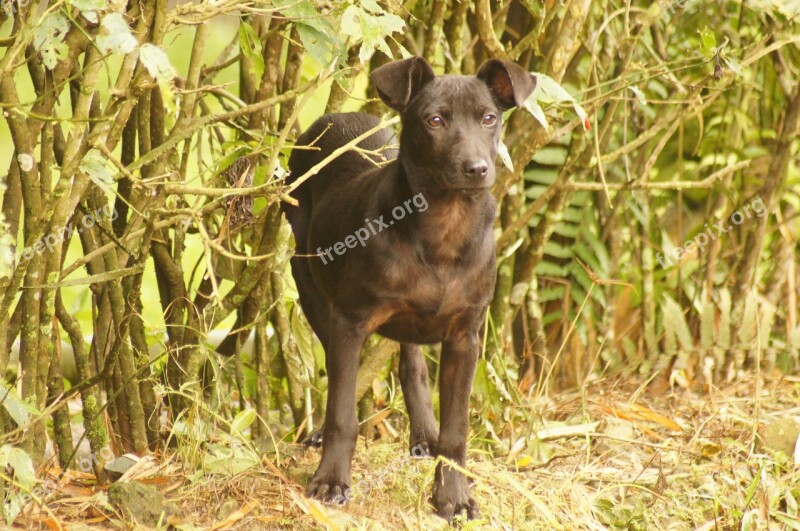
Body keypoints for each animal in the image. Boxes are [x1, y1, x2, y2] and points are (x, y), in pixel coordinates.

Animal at [282, 56, 536, 520]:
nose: (477, 169)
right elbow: (342, 412)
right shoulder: (350, 321)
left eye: (489, 118)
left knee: (412, 365)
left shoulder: (465, 336)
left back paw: (424, 434)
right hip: (308, 282)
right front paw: (331, 481)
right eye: (434, 121)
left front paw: (453, 496)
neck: (445, 228)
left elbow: (456, 430)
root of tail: (337, 117)